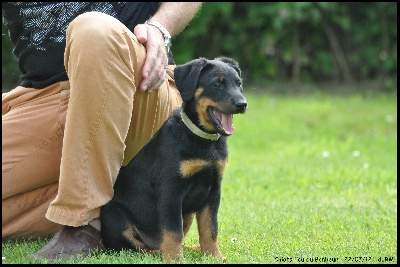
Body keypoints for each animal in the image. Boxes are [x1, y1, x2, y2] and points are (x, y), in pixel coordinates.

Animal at [100, 57, 247, 264]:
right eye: (218, 84)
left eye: (239, 84)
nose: (243, 104)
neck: (202, 140)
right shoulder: (171, 190)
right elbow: (173, 232)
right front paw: (176, 259)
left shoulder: (213, 190)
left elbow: (210, 228)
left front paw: (214, 255)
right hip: (114, 216)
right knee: (139, 248)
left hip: (188, 213)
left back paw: (193, 249)